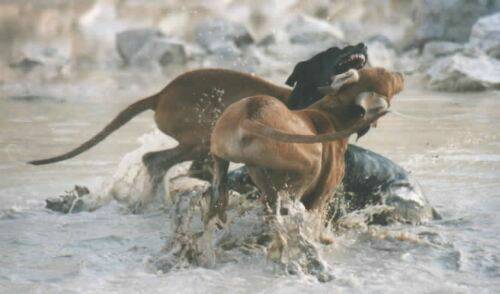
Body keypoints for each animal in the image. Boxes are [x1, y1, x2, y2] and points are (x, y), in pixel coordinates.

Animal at [209, 67, 404, 223]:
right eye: (387, 75)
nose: (401, 74)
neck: (331, 114)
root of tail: (251, 116)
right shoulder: (322, 198)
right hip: (308, 165)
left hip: (222, 160)